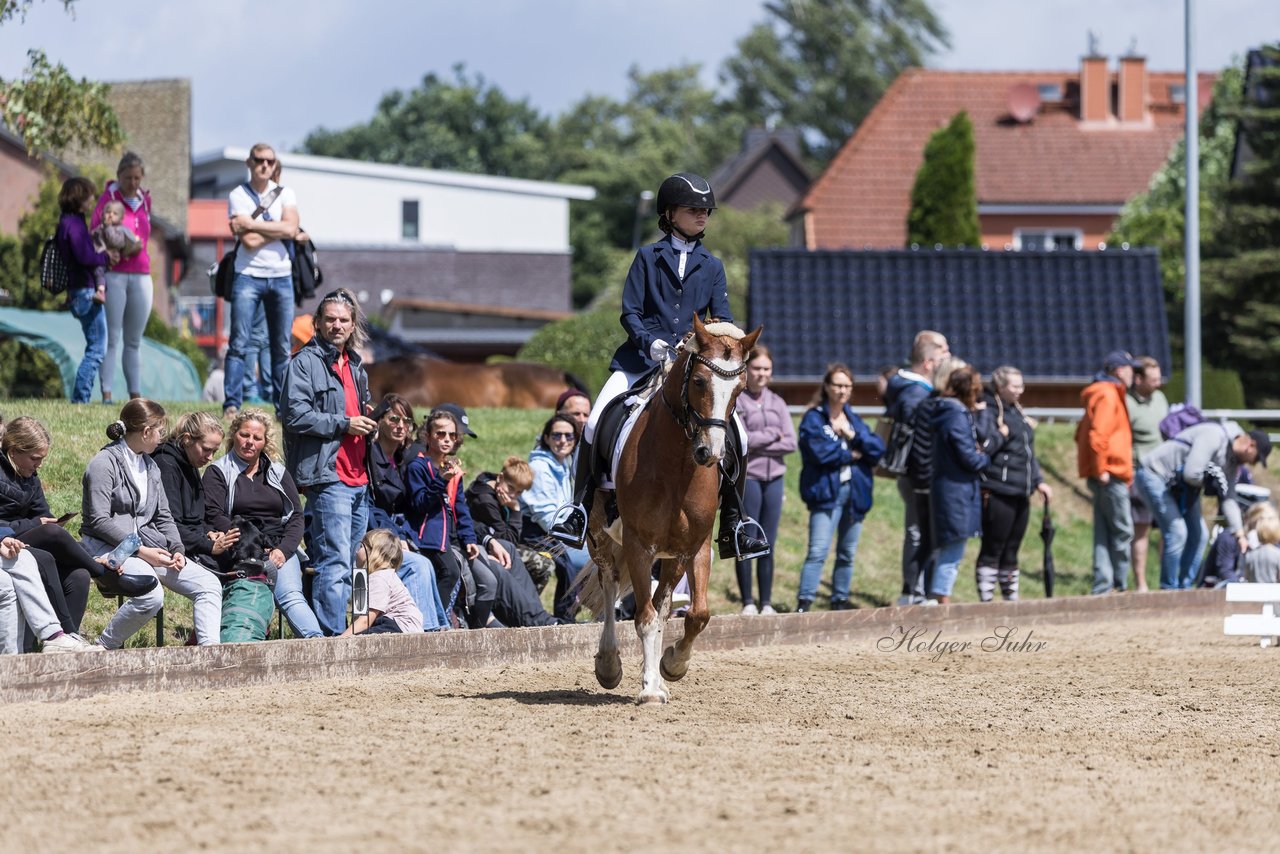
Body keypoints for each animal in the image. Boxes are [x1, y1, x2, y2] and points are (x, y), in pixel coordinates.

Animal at [573, 317, 757, 706]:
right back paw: (609, 665)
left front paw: (672, 665)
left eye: (740, 389)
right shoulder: (639, 546)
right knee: (611, 586)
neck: (678, 465)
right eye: (699, 380)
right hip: (601, 539)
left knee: (662, 606)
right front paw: (648, 690)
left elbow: (696, 615)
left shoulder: (694, 547)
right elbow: (642, 616)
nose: (711, 454)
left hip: (672, 558)